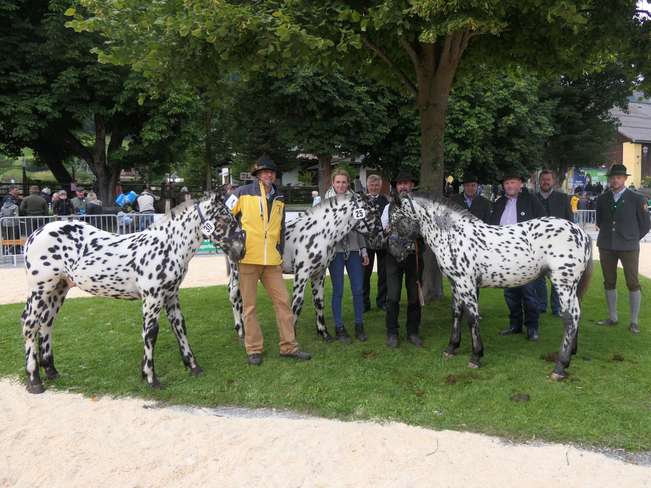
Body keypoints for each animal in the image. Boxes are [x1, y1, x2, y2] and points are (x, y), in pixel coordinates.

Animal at [21, 191, 244, 392]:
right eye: (224, 217)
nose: (240, 250)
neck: (168, 246)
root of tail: (35, 234)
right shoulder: (153, 297)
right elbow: (150, 333)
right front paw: (151, 378)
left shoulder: (171, 295)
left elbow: (179, 326)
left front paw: (193, 367)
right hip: (40, 289)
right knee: (30, 324)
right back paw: (34, 380)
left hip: (58, 289)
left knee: (47, 323)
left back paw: (51, 371)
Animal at [229, 193, 384, 342]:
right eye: (373, 212)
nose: (382, 238)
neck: (320, 233)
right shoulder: (301, 274)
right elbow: (297, 304)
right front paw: (292, 337)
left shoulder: (319, 274)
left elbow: (319, 302)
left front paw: (324, 333)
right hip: (237, 272)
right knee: (234, 295)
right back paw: (241, 331)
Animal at [390, 193, 592, 380]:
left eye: (397, 220)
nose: (394, 252)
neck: (453, 236)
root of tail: (582, 233)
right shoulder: (455, 284)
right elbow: (456, 313)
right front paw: (451, 348)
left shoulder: (466, 284)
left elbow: (472, 318)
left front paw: (476, 356)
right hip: (572, 287)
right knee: (577, 314)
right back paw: (572, 352)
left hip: (564, 283)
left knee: (570, 317)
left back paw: (560, 367)